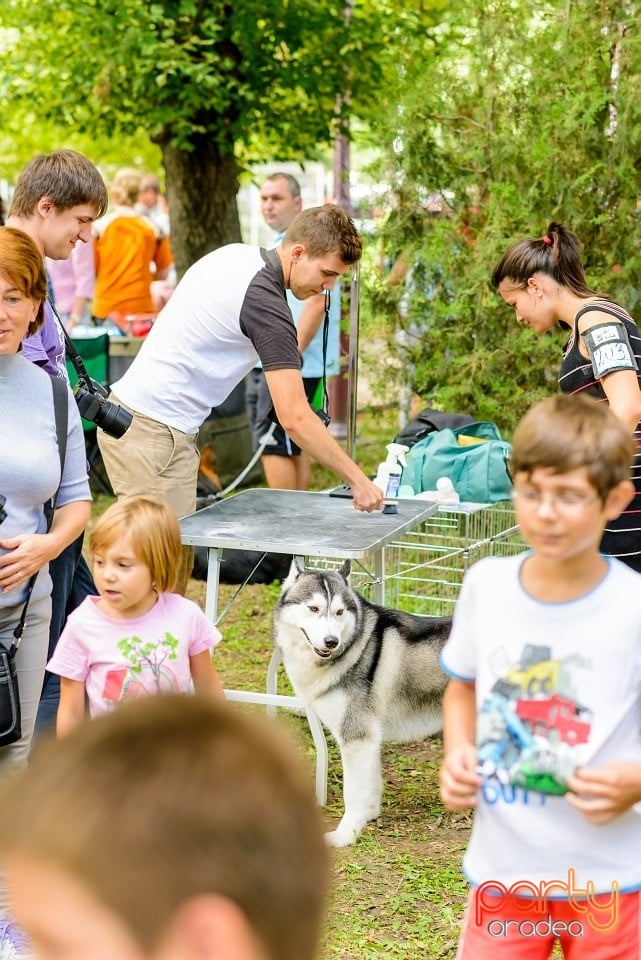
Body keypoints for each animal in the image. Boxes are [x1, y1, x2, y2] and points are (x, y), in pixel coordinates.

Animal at [274, 564, 450, 848]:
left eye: (339, 612)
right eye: (313, 608)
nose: (331, 641)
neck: (354, 645)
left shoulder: (357, 735)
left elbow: (353, 791)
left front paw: (346, 834)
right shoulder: (369, 739)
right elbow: (369, 785)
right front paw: (368, 816)